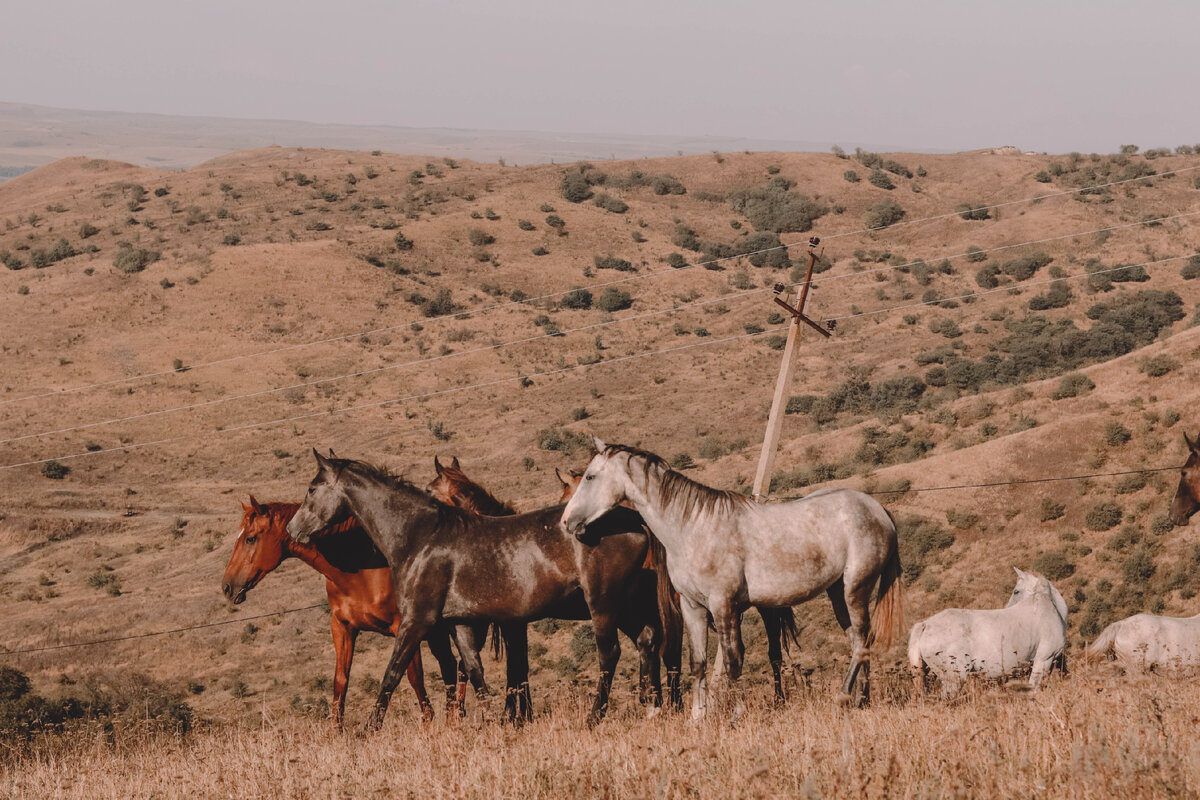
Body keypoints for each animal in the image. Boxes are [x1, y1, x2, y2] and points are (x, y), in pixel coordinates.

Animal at [220, 494, 468, 724]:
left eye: (251, 538)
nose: (227, 587)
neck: (362, 567)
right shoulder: (342, 627)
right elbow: (340, 682)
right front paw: (336, 733)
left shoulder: (405, 628)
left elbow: (413, 677)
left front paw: (427, 725)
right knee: (451, 665)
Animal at [289, 450, 662, 734]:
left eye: (311, 488)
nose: (294, 530)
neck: (422, 536)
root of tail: (636, 520)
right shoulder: (460, 622)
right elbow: (474, 670)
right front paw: (494, 722)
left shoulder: (417, 621)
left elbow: (392, 674)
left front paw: (369, 729)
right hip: (622, 605)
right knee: (646, 640)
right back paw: (652, 708)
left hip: (603, 605)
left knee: (610, 654)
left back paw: (594, 717)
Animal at [561, 438, 902, 719]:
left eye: (590, 477)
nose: (566, 521)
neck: (692, 527)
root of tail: (877, 509)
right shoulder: (693, 608)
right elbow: (697, 663)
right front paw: (698, 718)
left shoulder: (723, 605)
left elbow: (733, 659)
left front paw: (736, 714)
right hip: (837, 592)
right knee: (859, 641)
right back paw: (861, 701)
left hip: (856, 588)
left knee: (862, 641)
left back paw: (844, 698)